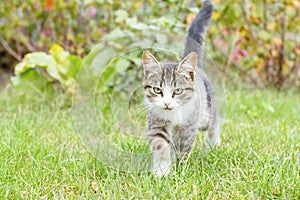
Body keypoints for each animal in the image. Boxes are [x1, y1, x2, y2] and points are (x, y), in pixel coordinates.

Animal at [142, 0, 219, 177]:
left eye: (178, 91)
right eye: (157, 90)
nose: (167, 103)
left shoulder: (188, 126)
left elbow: (183, 146)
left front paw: (179, 168)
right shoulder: (156, 123)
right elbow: (161, 144)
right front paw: (162, 171)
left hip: (205, 112)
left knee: (214, 122)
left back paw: (213, 145)